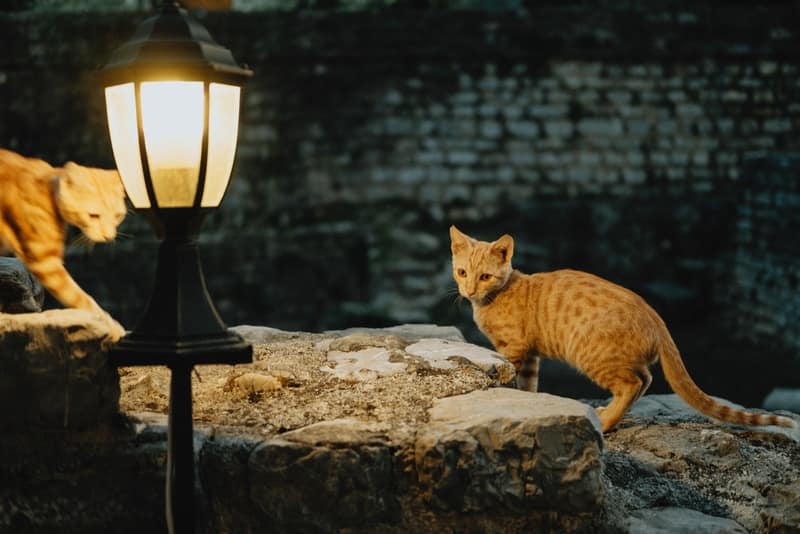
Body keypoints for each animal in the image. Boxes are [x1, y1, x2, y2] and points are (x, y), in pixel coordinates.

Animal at [0, 149, 126, 342]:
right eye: (93, 216)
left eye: (117, 216)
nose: (108, 236)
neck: (48, 190)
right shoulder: (46, 263)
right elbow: (81, 298)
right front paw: (110, 326)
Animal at [454, 226, 796, 436]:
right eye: (462, 272)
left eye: (485, 276)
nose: (468, 290)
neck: (494, 297)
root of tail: (657, 318)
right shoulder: (531, 356)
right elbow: (528, 385)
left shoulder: (514, 348)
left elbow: (511, 377)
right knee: (645, 379)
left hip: (592, 355)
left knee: (633, 382)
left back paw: (605, 422)